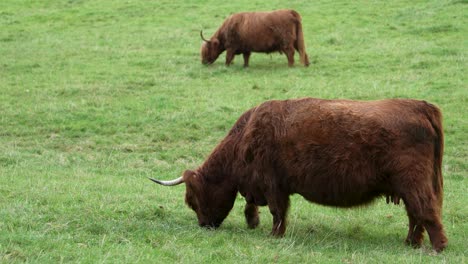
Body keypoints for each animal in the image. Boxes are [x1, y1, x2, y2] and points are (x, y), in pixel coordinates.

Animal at [152, 98, 448, 253]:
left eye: (193, 201)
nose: (204, 225)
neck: (245, 138)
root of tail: (420, 106)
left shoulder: (273, 185)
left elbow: (277, 212)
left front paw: (275, 235)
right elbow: (254, 206)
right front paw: (254, 223)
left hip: (414, 183)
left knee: (426, 212)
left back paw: (438, 247)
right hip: (407, 188)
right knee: (415, 216)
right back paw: (410, 243)